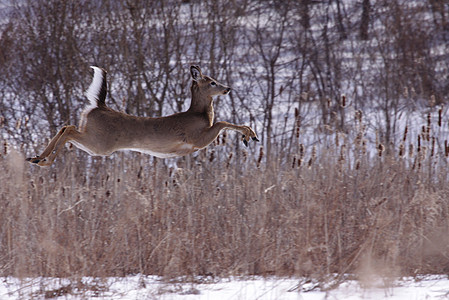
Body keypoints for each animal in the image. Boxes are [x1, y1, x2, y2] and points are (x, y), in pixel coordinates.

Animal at [27, 65, 260, 166]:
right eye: (211, 82)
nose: (227, 88)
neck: (200, 115)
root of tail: (99, 106)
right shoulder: (198, 139)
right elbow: (222, 121)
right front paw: (250, 135)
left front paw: (250, 136)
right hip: (99, 143)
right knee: (69, 130)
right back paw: (43, 162)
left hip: (93, 141)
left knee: (66, 127)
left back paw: (35, 157)